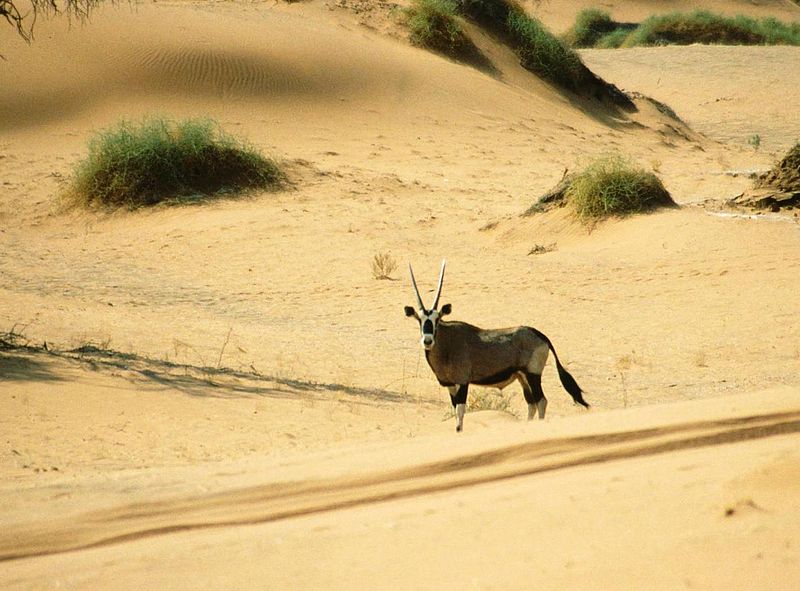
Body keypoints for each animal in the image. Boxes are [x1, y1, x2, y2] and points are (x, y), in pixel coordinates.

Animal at [406, 262, 588, 432]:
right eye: (419, 319)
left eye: (437, 319)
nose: (427, 341)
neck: (447, 343)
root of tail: (540, 335)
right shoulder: (450, 385)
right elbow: (455, 412)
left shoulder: (463, 382)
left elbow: (460, 412)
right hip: (522, 377)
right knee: (532, 404)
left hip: (533, 374)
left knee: (541, 401)